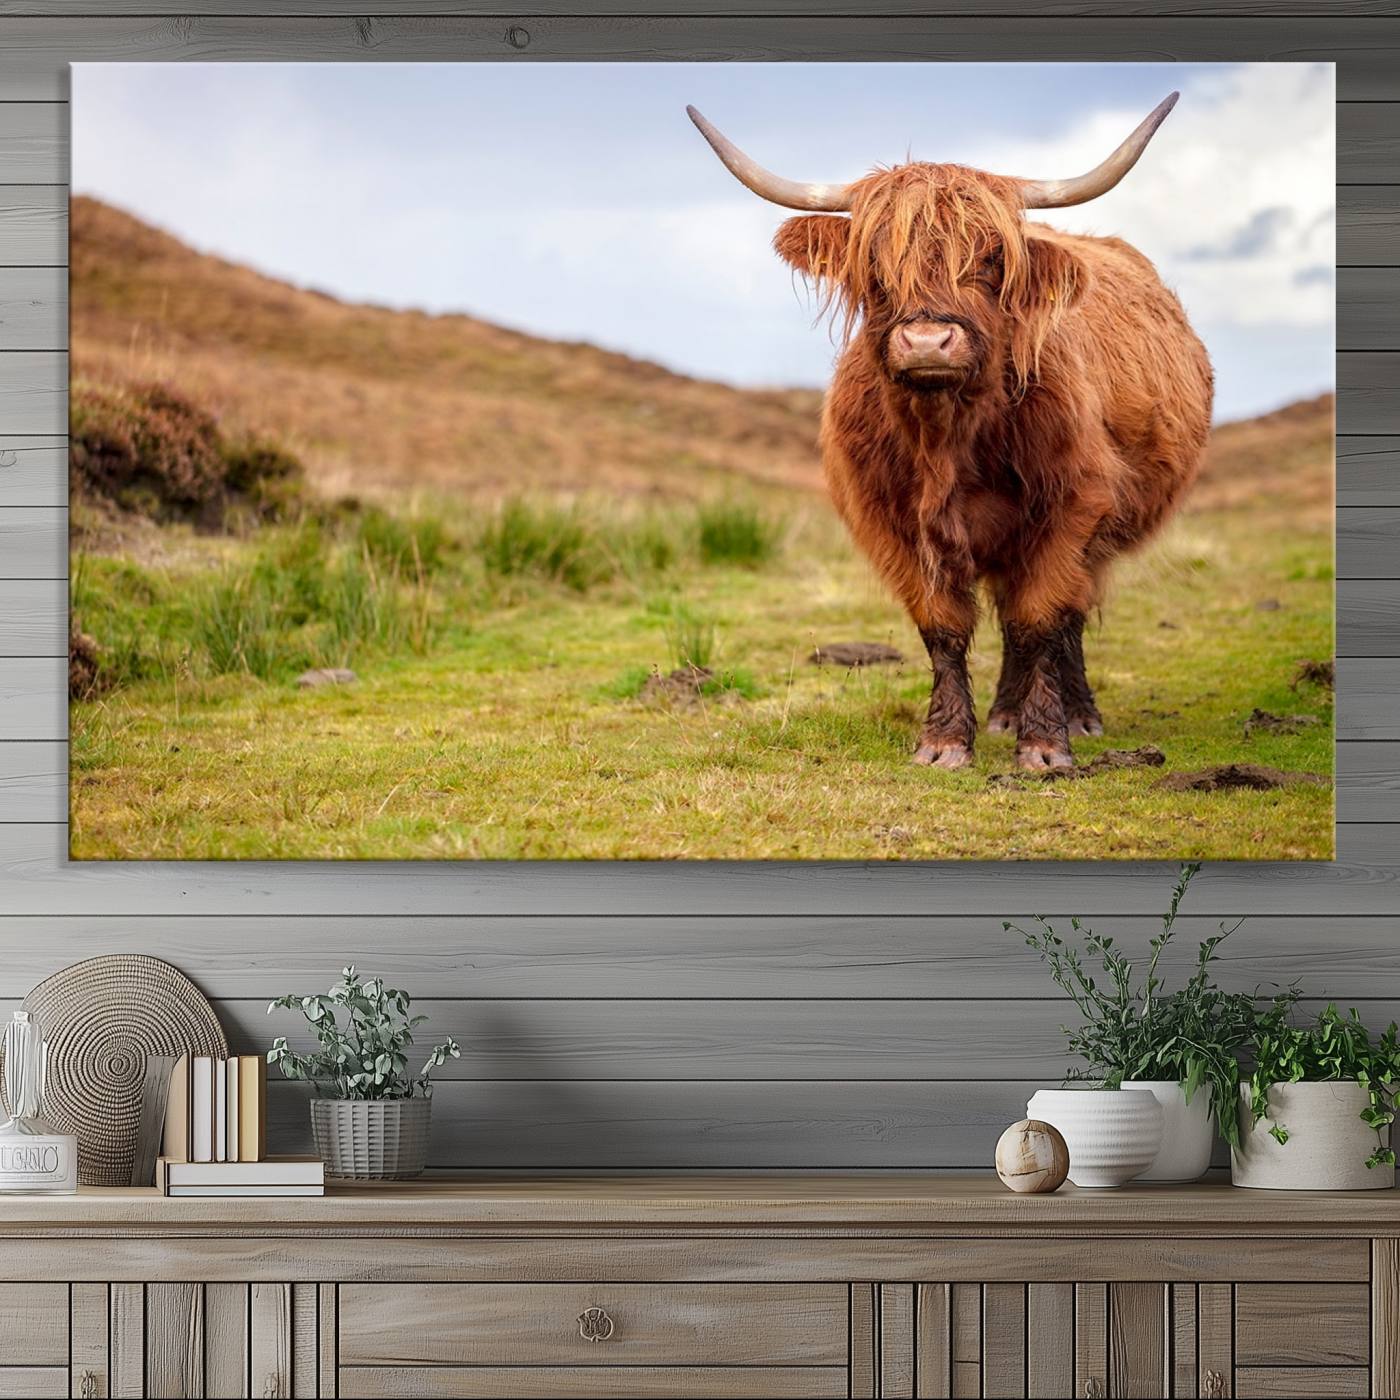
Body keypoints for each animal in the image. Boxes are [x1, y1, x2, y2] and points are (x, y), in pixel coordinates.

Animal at [688, 95, 1213, 771]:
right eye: (875, 263)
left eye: (990, 259)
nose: (927, 342)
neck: (948, 438)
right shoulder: (892, 523)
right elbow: (943, 626)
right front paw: (944, 741)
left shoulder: (1073, 508)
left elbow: (1041, 618)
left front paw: (1045, 745)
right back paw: (1003, 713)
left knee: (1061, 617)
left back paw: (1075, 714)